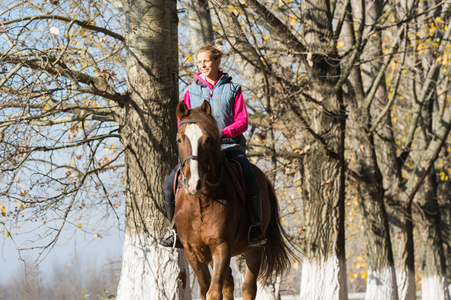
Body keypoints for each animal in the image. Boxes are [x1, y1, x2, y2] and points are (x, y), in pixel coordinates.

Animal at [173, 101, 294, 300]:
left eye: (209, 140)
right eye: (179, 140)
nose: (193, 183)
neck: (200, 203)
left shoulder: (221, 246)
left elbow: (214, 292)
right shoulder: (193, 251)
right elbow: (206, 290)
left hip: (254, 249)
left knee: (248, 287)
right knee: (229, 282)